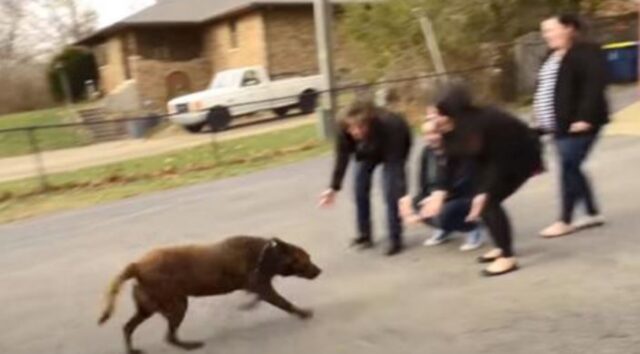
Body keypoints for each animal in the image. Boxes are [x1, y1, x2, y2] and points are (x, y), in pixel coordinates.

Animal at [98, 235, 322, 354]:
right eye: (306, 259)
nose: (319, 270)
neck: (267, 256)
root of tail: (137, 266)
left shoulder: (259, 287)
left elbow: (258, 299)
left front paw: (249, 305)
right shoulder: (264, 288)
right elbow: (284, 302)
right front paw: (303, 313)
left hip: (148, 307)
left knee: (128, 327)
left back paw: (132, 350)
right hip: (178, 304)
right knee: (169, 335)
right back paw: (189, 346)